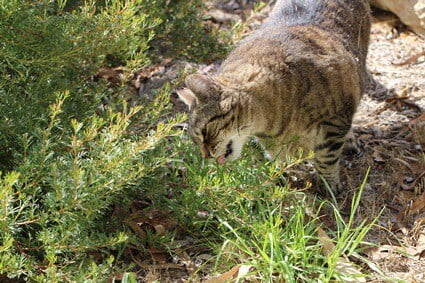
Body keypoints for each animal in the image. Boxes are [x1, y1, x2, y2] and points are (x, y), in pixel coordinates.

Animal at [175, 0, 368, 194]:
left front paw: (328, 185)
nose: (205, 155)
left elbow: (326, 158)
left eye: (204, 132)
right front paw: (278, 178)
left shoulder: (333, 121)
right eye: (195, 140)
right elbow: (278, 160)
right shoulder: (273, 143)